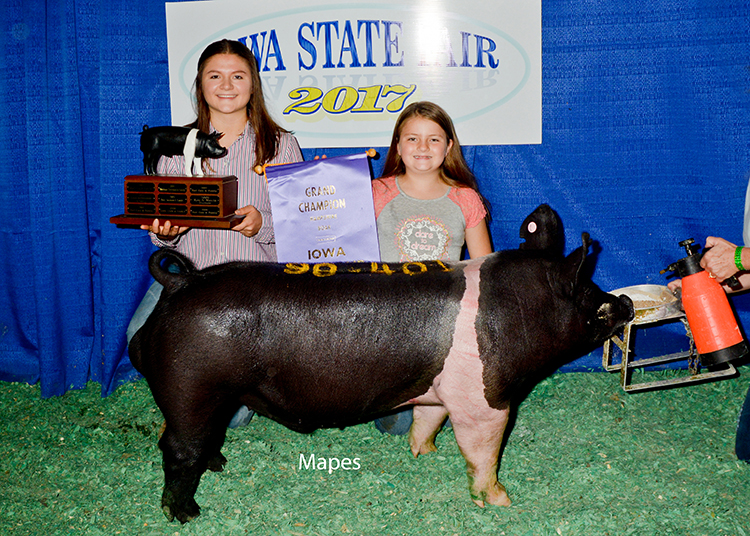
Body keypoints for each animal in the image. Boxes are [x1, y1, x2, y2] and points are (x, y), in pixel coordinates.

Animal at [128, 204, 634, 523]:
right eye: (592, 298)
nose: (626, 302)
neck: (518, 311)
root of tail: (181, 284)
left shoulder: (439, 389)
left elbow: (428, 420)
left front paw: (424, 454)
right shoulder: (484, 399)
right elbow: (483, 450)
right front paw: (500, 501)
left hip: (212, 394)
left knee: (199, 436)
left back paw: (220, 464)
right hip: (191, 384)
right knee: (177, 447)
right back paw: (186, 514)